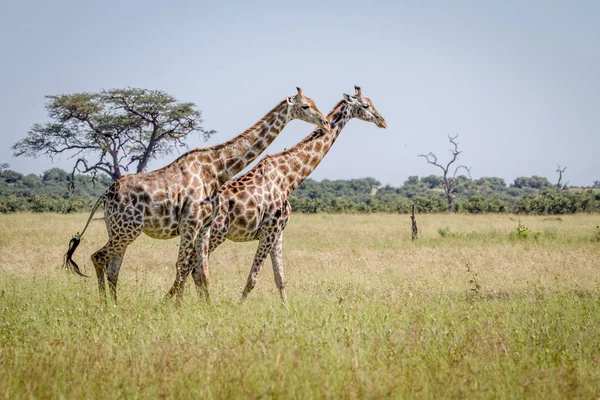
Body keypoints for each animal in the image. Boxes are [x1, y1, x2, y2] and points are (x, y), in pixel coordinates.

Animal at [64, 87, 328, 304]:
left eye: (315, 101)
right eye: (305, 106)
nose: (324, 122)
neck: (217, 168)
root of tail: (106, 194)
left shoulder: (204, 227)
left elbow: (202, 272)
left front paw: (206, 308)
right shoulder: (190, 224)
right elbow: (183, 265)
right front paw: (177, 307)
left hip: (119, 230)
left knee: (113, 268)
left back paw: (115, 305)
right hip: (127, 229)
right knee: (98, 257)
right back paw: (105, 305)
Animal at [183, 86, 386, 302]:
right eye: (365, 105)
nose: (382, 121)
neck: (289, 178)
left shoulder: (278, 232)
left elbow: (280, 278)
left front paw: (285, 307)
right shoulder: (269, 230)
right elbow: (252, 279)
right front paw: (239, 306)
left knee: (193, 269)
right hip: (216, 234)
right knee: (193, 268)